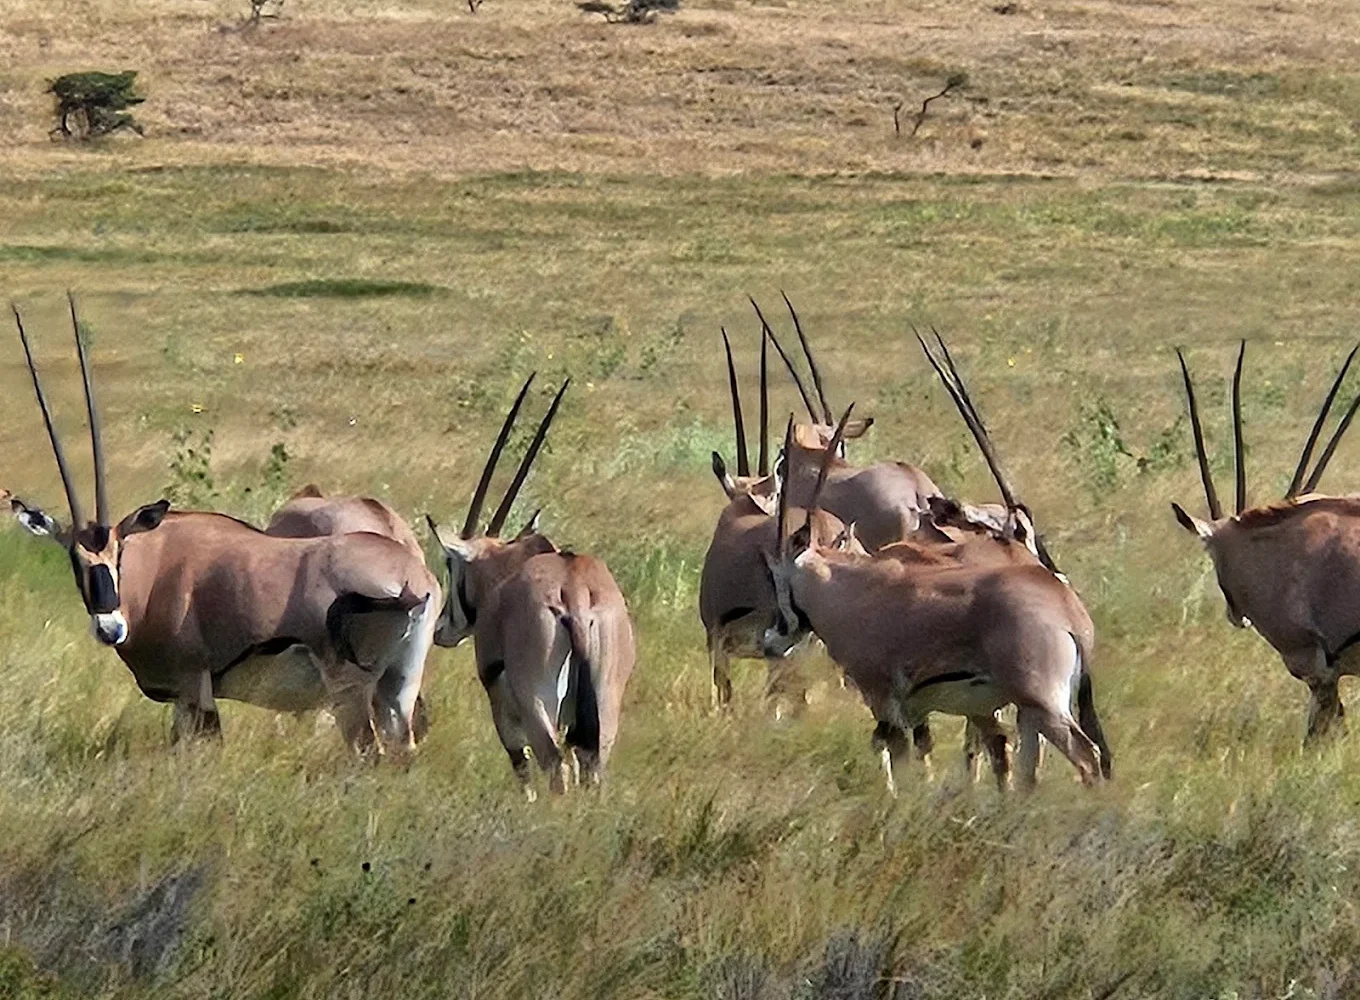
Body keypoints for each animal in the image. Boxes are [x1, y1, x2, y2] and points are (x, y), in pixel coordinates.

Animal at [10, 299, 436, 752]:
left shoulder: (192, 685)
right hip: (398, 687)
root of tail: (412, 578)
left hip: (349, 691)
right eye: (74, 558)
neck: (154, 570)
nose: (111, 628)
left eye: (118, 552)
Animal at [426, 375, 635, 797]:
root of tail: (574, 595)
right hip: (604, 707)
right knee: (592, 766)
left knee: (554, 764)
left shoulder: (502, 705)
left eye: (451, 564)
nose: (442, 629)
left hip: (536, 702)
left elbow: (519, 765)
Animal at [763, 406, 1108, 793]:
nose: (771, 640)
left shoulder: (883, 699)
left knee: (1086, 755)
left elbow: (897, 754)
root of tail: (1070, 614)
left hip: (1044, 704)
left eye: (778, 578)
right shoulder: (914, 708)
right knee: (1028, 769)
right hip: (1029, 711)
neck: (848, 589)